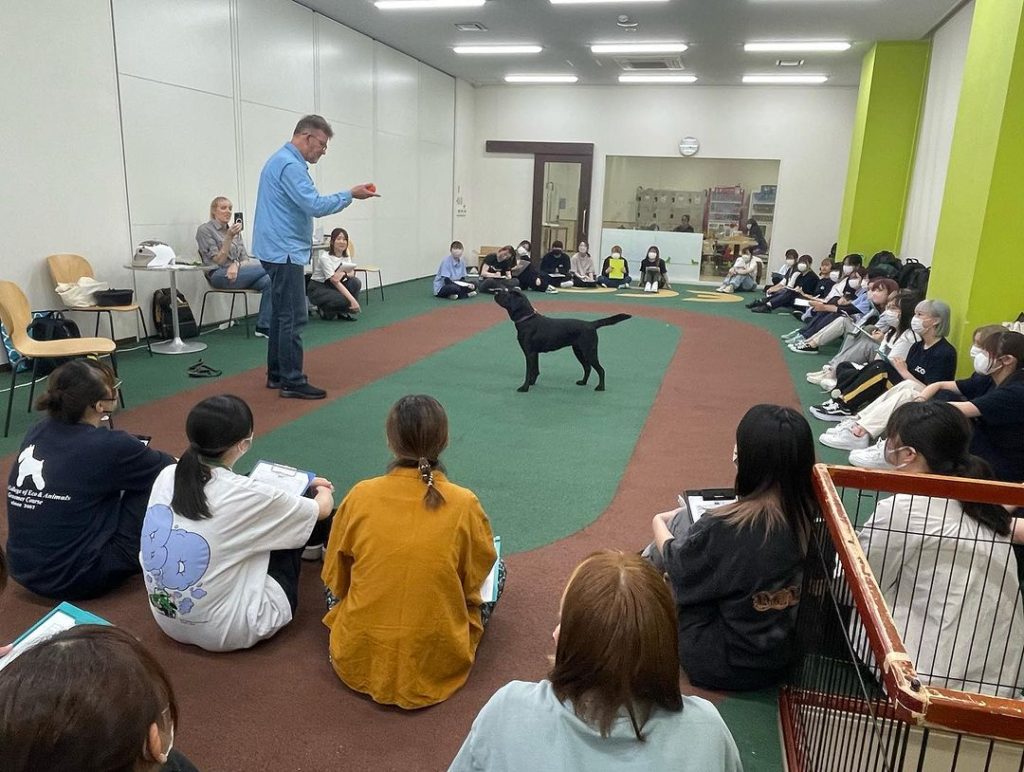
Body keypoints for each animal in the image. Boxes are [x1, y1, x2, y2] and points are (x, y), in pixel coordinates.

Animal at [491, 286, 626, 391]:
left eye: (507, 294)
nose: (496, 292)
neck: (527, 319)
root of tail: (591, 324)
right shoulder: (535, 353)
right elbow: (535, 370)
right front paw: (532, 383)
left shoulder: (529, 353)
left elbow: (528, 372)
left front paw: (524, 388)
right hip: (578, 351)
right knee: (587, 368)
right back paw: (583, 382)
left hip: (589, 351)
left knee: (601, 370)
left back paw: (600, 387)